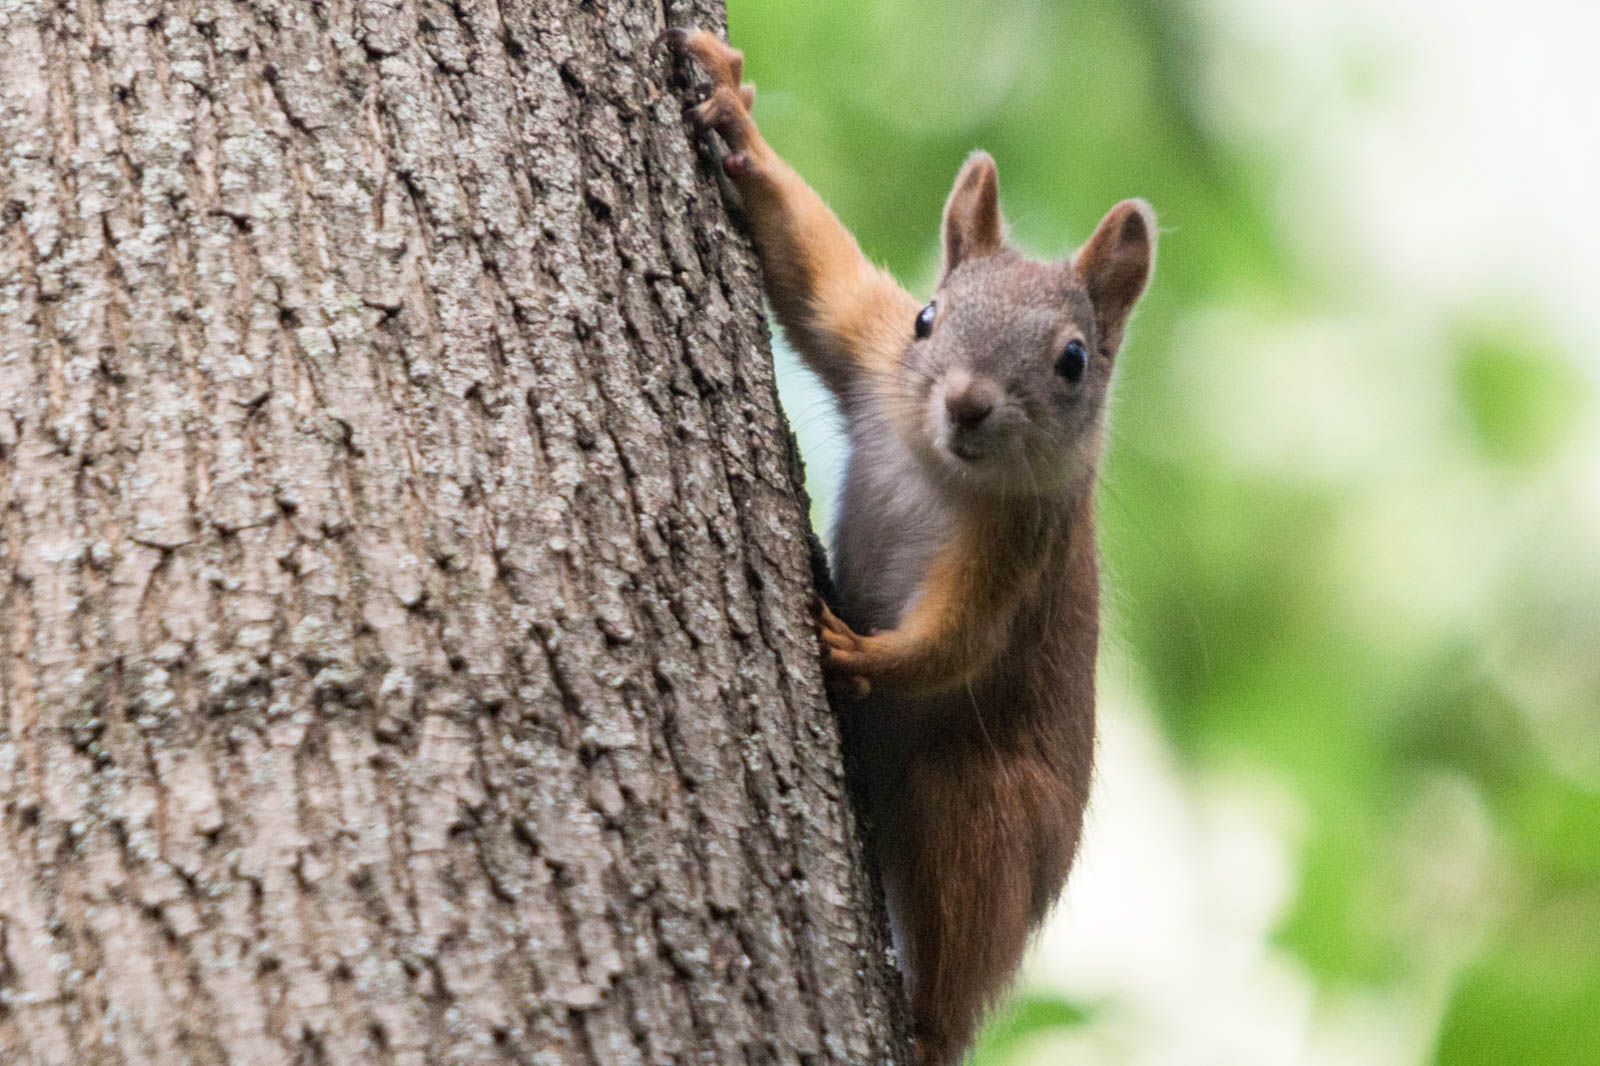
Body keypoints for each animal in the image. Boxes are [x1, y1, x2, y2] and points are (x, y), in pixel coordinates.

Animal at [664, 28, 1157, 1065]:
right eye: (930, 317)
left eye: (1073, 361)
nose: (966, 404)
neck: (939, 465)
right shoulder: (870, 346)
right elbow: (817, 276)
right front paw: (733, 112)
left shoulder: (1024, 547)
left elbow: (961, 638)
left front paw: (858, 652)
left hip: (977, 807)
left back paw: (931, 1024)